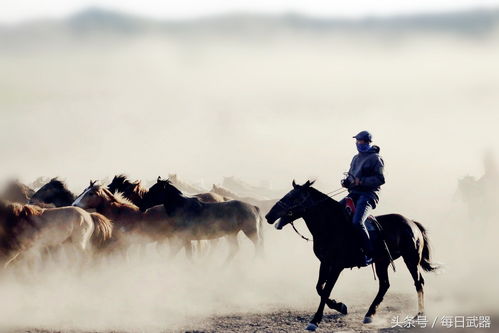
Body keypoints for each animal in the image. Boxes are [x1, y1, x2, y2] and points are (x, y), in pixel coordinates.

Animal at [264, 179, 440, 330]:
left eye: (293, 197)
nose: (268, 216)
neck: (332, 225)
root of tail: (411, 223)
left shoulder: (337, 266)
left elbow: (326, 290)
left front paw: (315, 320)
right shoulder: (325, 263)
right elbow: (319, 288)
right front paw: (340, 306)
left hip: (410, 259)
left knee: (418, 282)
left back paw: (419, 315)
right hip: (382, 262)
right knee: (384, 284)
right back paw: (370, 314)